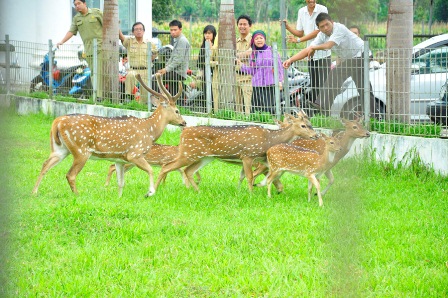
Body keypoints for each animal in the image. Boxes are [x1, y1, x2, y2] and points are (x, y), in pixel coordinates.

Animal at [32, 73, 186, 197]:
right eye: (177, 111)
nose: (184, 122)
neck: (150, 131)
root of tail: (57, 122)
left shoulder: (120, 159)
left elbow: (121, 182)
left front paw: (119, 197)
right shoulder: (134, 153)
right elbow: (150, 170)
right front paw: (150, 192)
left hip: (60, 149)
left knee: (45, 164)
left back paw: (34, 192)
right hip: (81, 150)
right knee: (70, 174)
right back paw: (77, 195)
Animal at [155, 113, 318, 192]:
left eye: (311, 124)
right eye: (303, 125)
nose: (316, 135)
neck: (269, 139)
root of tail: (183, 132)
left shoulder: (262, 159)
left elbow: (271, 177)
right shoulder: (247, 155)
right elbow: (250, 177)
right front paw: (251, 194)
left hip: (205, 157)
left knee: (188, 171)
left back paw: (198, 192)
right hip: (188, 153)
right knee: (167, 167)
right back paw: (154, 190)